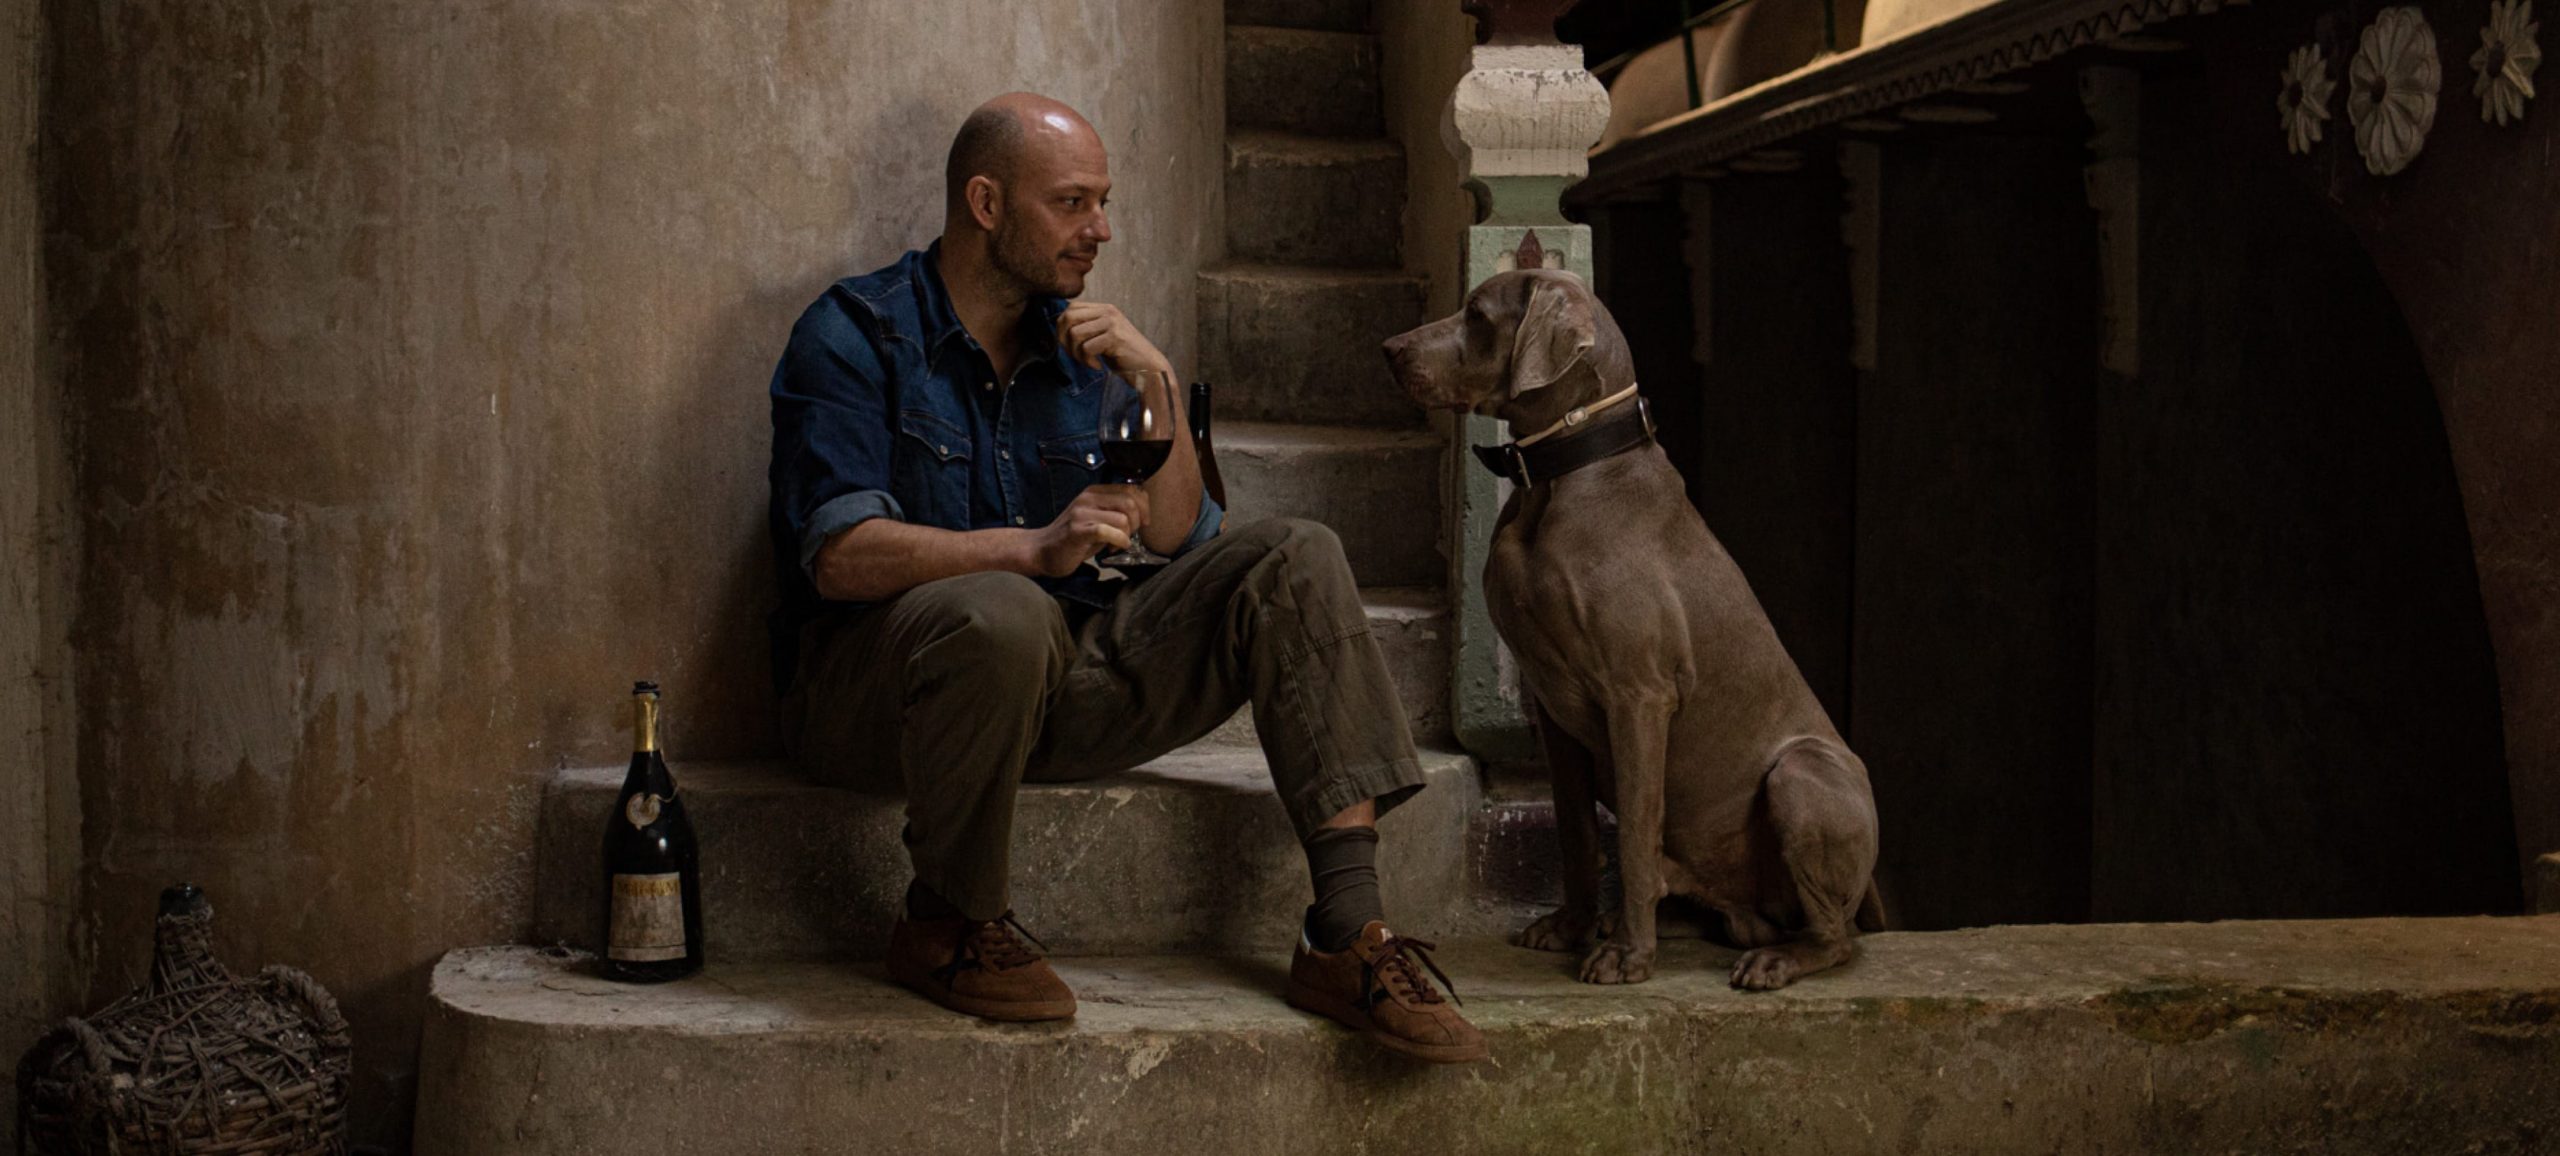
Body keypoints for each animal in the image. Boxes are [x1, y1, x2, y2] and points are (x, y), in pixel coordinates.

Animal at [1382, 268, 1884, 982]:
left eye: (1477, 313)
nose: (1390, 349)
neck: (1563, 475)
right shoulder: (1553, 709)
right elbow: (1575, 830)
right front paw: (1572, 926)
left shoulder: (1639, 696)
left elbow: (1639, 839)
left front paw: (1627, 955)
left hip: (1802, 773)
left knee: (1837, 937)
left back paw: (1774, 959)